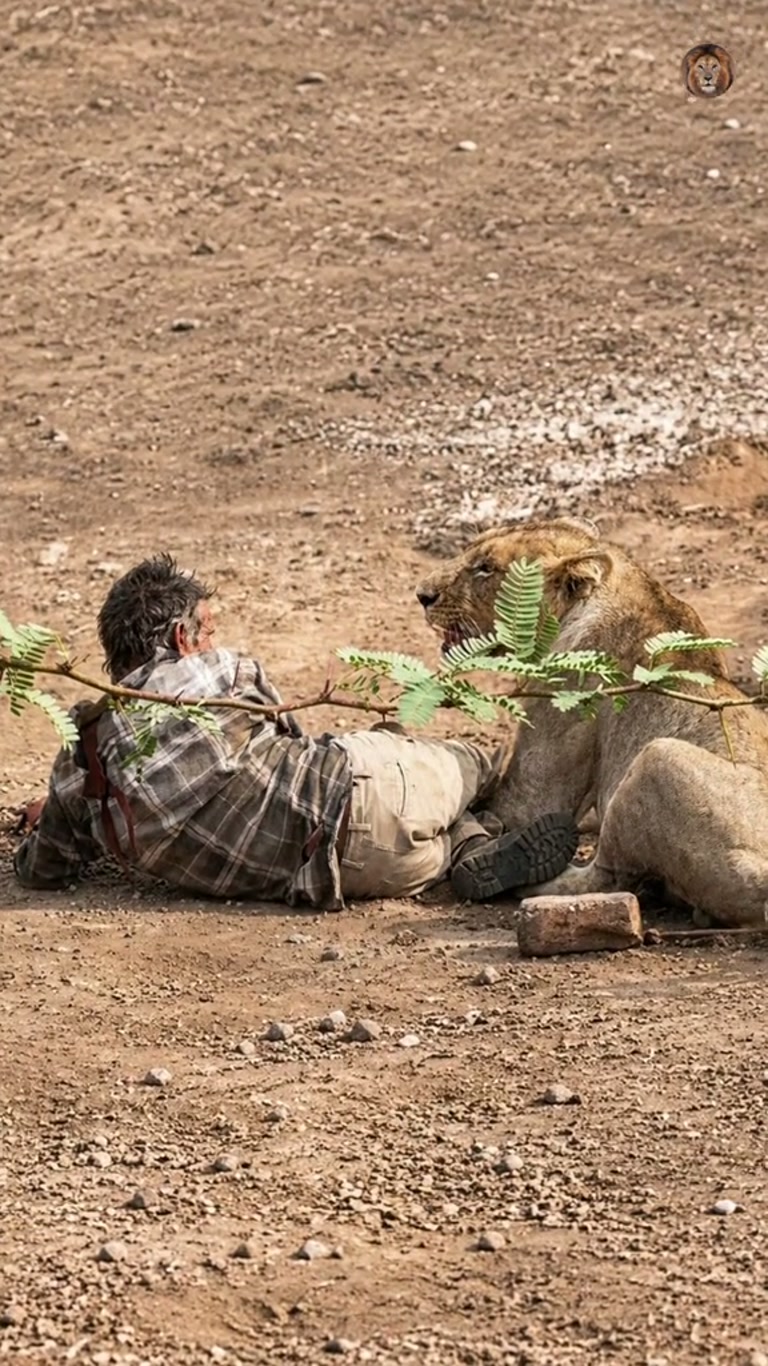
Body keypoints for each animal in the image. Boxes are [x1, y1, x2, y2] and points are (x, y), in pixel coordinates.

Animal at [416, 517, 768, 928]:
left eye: (486, 568)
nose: (422, 595)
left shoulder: (548, 749)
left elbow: (515, 806)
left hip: (658, 759)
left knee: (606, 877)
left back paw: (505, 867)